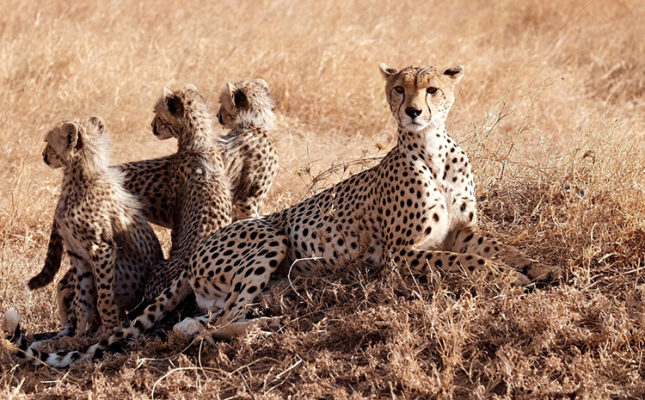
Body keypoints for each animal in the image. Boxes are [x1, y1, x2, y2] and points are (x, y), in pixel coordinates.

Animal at [6, 63, 552, 368]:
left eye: (432, 89)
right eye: (400, 88)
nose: (414, 111)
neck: (432, 148)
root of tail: (192, 252)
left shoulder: (463, 229)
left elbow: (499, 247)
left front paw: (541, 268)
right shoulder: (402, 254)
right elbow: (469, 262)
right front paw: (508, 279)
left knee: (198, 322)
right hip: (270, 236)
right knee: (213, 323)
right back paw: (266, 327)